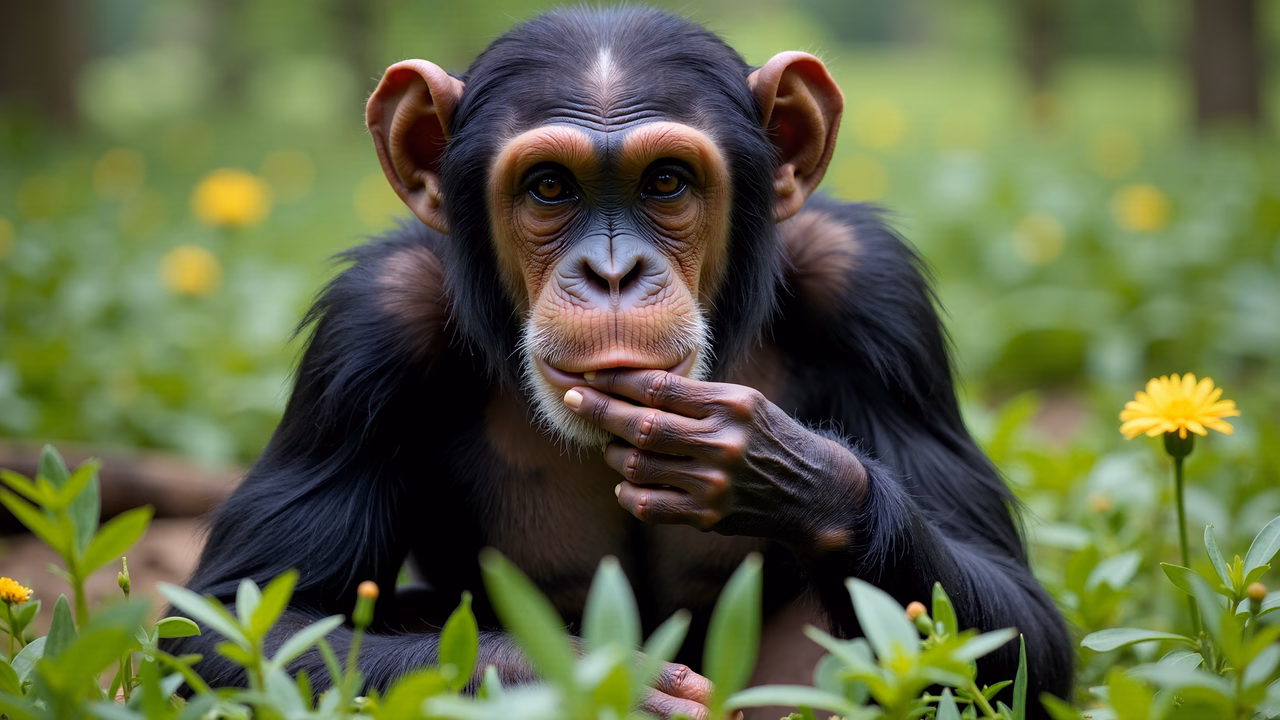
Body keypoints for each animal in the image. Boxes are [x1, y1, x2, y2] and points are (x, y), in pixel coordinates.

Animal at [167, 8, 1073, 719]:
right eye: (550, 188)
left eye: (665, 183)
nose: (612, 273)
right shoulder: (368, 329)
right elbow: (238, 627)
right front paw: (595, 679)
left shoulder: (873, 290)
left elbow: (1023, 628)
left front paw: (777, 467)